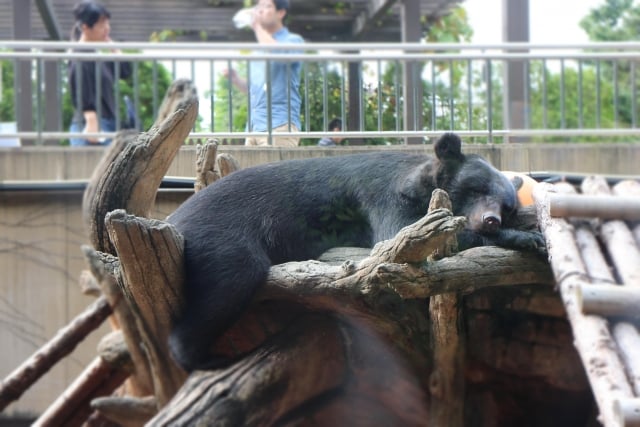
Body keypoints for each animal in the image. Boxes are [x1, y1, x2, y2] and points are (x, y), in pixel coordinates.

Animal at [166, 134, 544, 372]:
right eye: (477, 189)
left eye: (507, 206)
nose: (492, 220)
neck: (419, 180)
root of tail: (174, 220)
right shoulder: (383, 195)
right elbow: (400, 232)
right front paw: (528, 238)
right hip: (222, 237)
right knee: (230, 281)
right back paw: (202, 358)